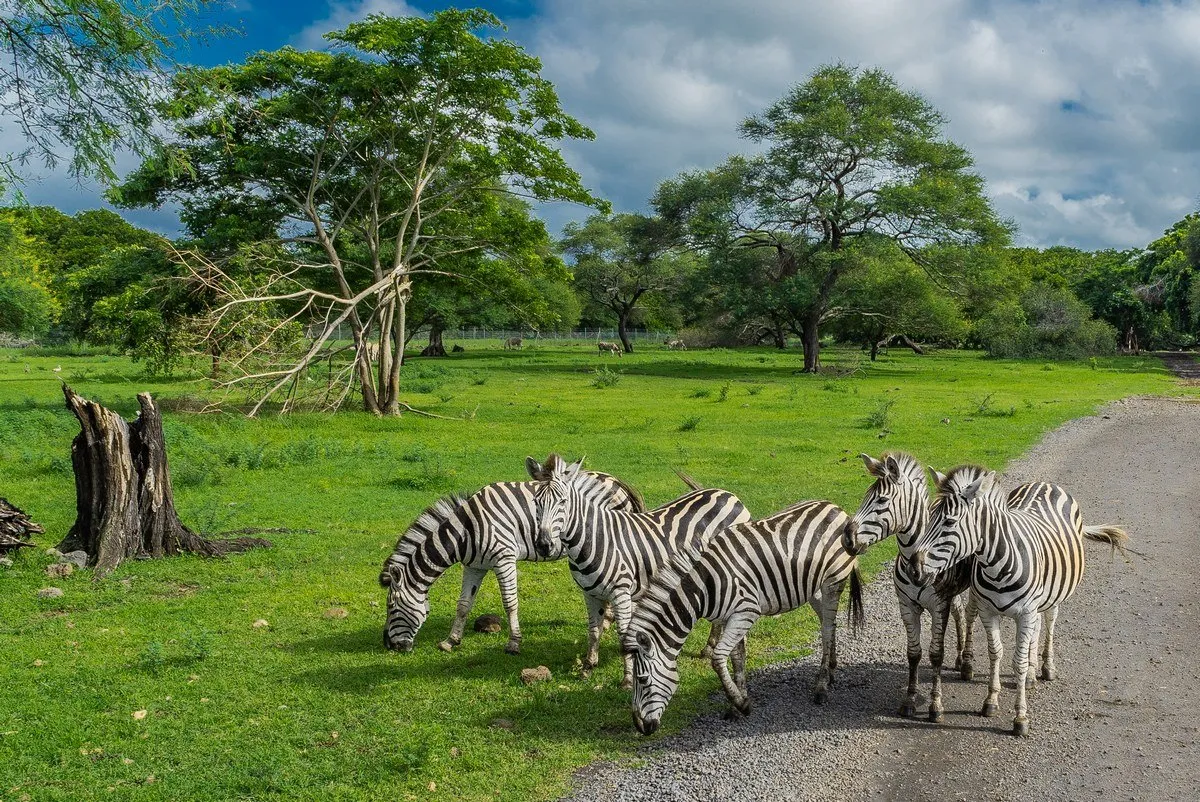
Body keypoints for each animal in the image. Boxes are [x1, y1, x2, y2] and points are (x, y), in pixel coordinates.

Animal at [380, 456, 644, 654]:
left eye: (392, 607)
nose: (389, 645)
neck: (466, 531)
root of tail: (619, 482)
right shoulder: (474, 565)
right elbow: (464, 604)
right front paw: (451, 641)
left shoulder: (504, 558)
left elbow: (510, 602)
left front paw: (514, 643)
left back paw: (608, 621)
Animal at [530, 457, 751, 688]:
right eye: (536, 502)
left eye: (563, 502)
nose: (544, 545)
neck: (596, 538)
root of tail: (729, 494)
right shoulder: (589, 593)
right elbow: (593, 630)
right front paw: (588, 668)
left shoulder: (621, 592)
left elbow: (623, 635)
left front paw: (627, 679)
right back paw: (708, 648)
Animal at [625, 500, 865, 735]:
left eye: (642, 680)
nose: (641, 728)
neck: (706, 587)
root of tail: (836, 507)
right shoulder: (728, 618)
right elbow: (737, 659)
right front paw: (737, 703)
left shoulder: (746, 613)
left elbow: (718, 658)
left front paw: (741, 704)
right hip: (812, 587)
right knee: (829, 623)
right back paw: (831, 670)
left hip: (833, 581)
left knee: (826, 629)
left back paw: (821, 687)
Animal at [842, 452, 976, 722]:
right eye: (864, 496)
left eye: (882, 500)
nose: (847, 539)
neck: (913, 558)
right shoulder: (906, 605)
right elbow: (913, 654)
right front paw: (909, 701)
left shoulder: (938, 606)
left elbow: (936, 654)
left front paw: (935, 705)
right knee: (959, 612)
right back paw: (958, 659)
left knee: (969, 617)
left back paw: (966, 664)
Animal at [913, 465, 1129, 736]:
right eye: (929, 517)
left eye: (949, 522)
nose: (914, 568)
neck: (996, 564)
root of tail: (1044, 483)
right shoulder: (988, 611)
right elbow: (996, 652)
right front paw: (991, 701)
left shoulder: (1025, 613)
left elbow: (1019, 661)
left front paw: (1020, 717)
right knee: (1036, 630)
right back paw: (1033, 674)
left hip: (1052, 597)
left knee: (1049, 623)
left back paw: (1045, 668)